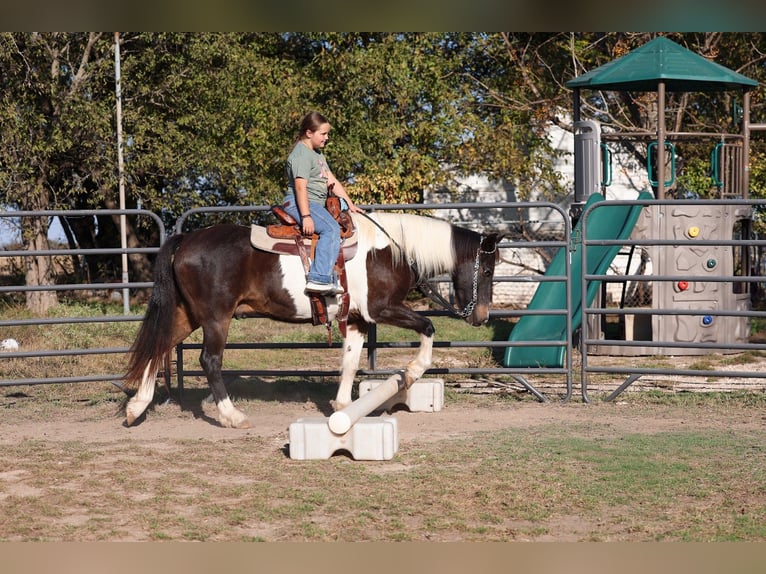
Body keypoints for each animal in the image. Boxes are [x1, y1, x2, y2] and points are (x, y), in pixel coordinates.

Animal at [122, 211, 504, 428]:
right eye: (487, 269)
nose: (482, 316)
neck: (390, 251)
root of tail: (187, 238)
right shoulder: (381, 309)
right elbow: (427, 327)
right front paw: (412, 372)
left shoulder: (357, 319)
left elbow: (349, 363)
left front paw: (344, 407)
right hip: (217, 317)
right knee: (210, 360)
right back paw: (232, 416)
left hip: (188, 314)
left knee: (158, 347)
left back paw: (136, 408)